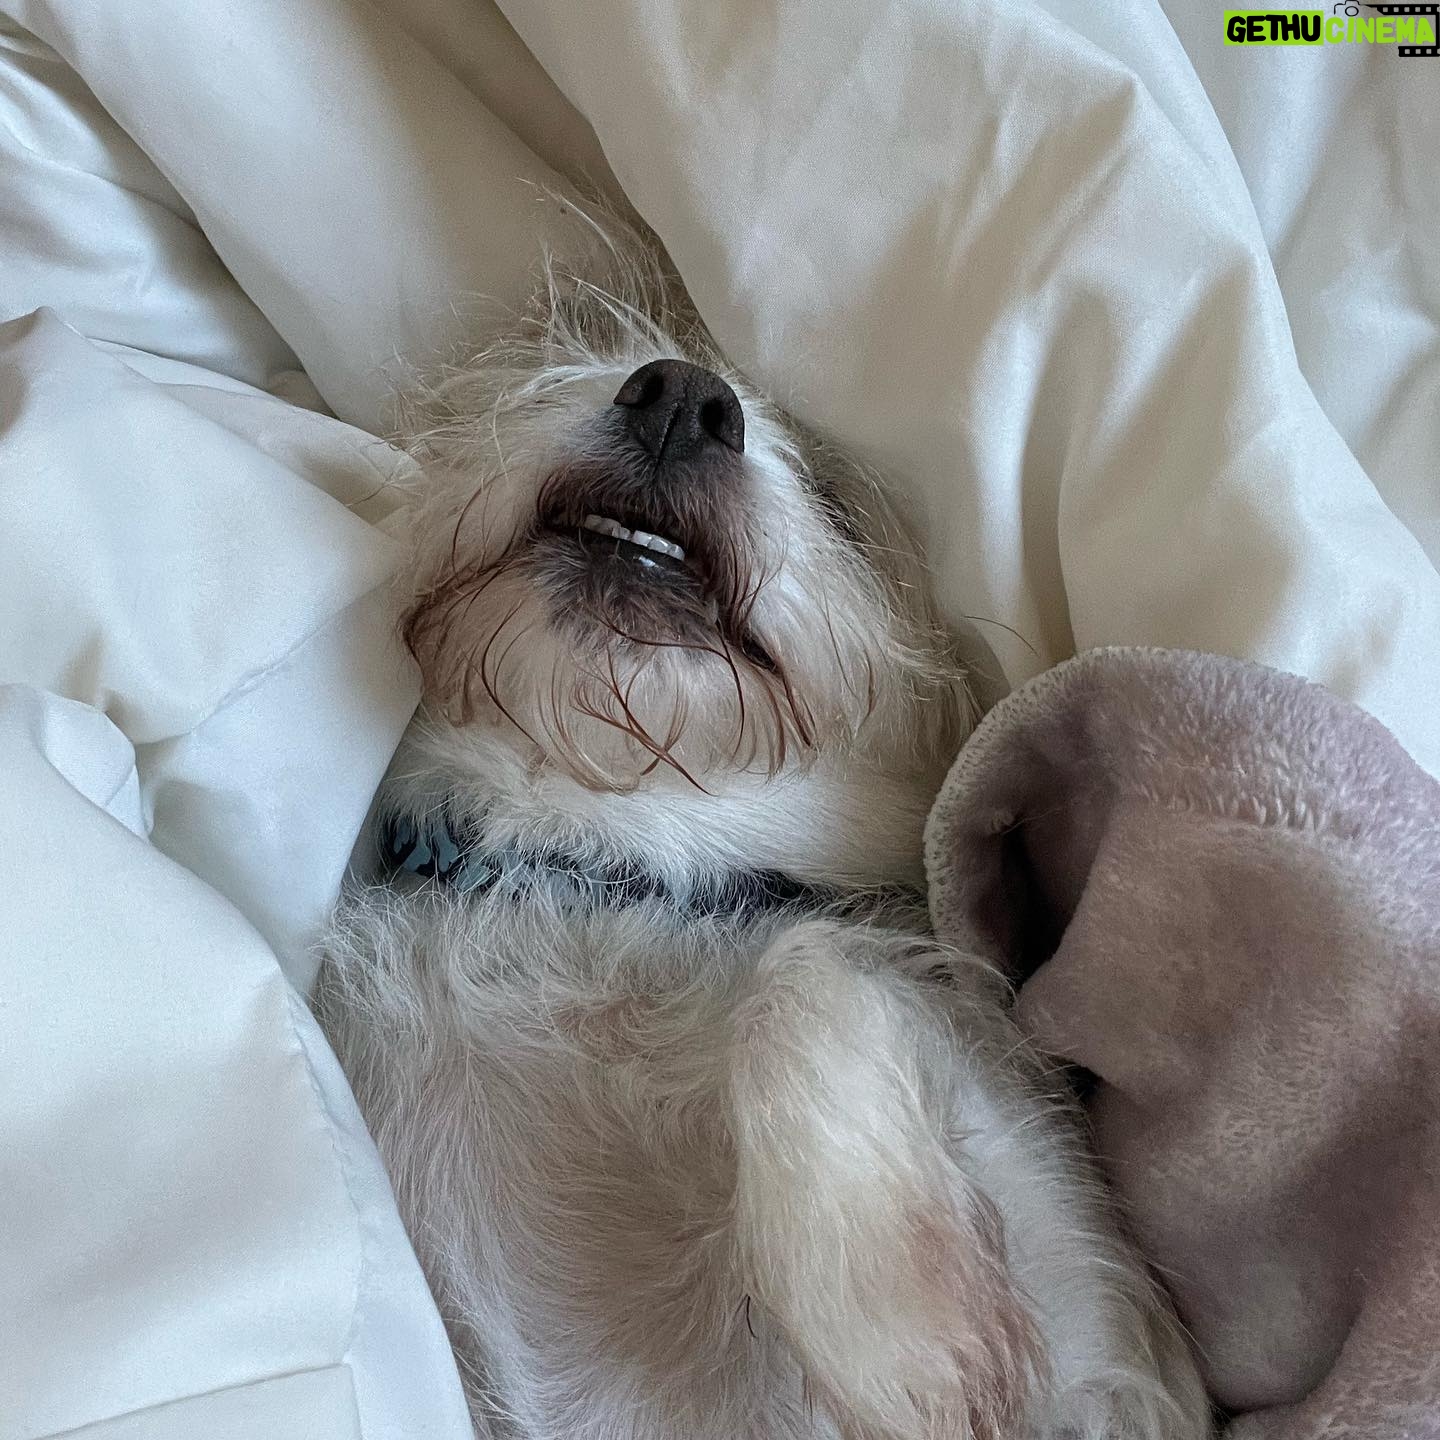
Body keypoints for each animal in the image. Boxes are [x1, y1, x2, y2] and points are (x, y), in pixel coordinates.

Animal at [314, 212, 1210, 1440]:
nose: (683, 398)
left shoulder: (1098, 1350)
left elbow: (805, 970)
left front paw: (900, 1331)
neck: (598, 862)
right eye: (579, 355)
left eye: (839, 508)